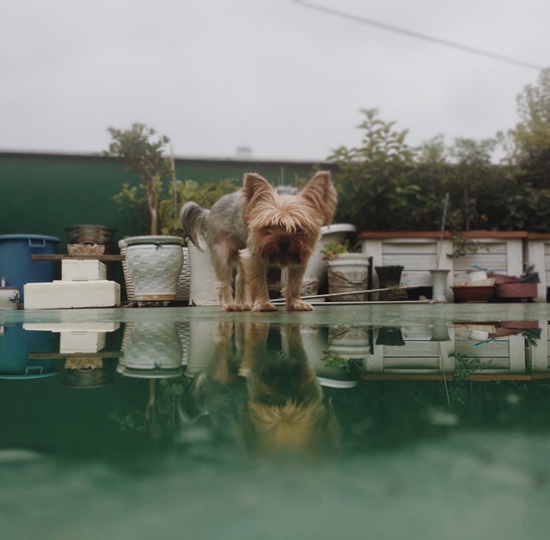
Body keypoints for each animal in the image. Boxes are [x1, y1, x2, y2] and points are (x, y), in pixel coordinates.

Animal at [182, 171, 336, 310]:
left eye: (299, 227)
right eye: (268, 226)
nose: (283, 242)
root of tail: (208, 212)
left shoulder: (299, 257)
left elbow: (295, 283)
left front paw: (295, 304)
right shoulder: (253, 256)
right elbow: (258, 281)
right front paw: (263, 304)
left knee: (240, 278)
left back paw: (242, 304)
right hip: (222, 251)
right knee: (224, 281)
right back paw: (229, 305)